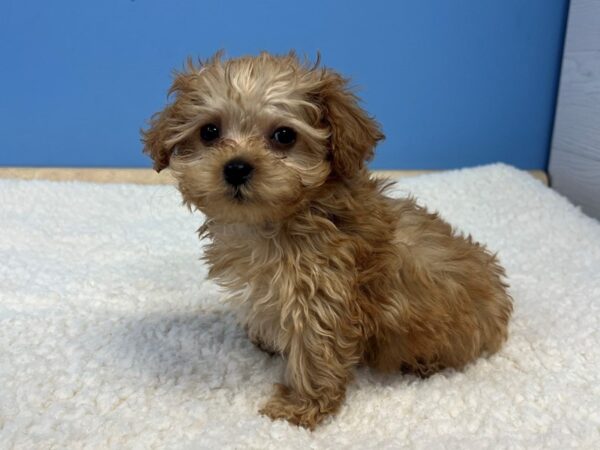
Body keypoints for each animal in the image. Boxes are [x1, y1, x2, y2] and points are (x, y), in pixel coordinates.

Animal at [141, 52, 510, 428]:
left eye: (284, 135)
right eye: (209, 131)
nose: (236, 167)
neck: (277, 221)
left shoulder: (323, 291)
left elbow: (315, 352)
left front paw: (299, 408)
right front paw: (266, 339)